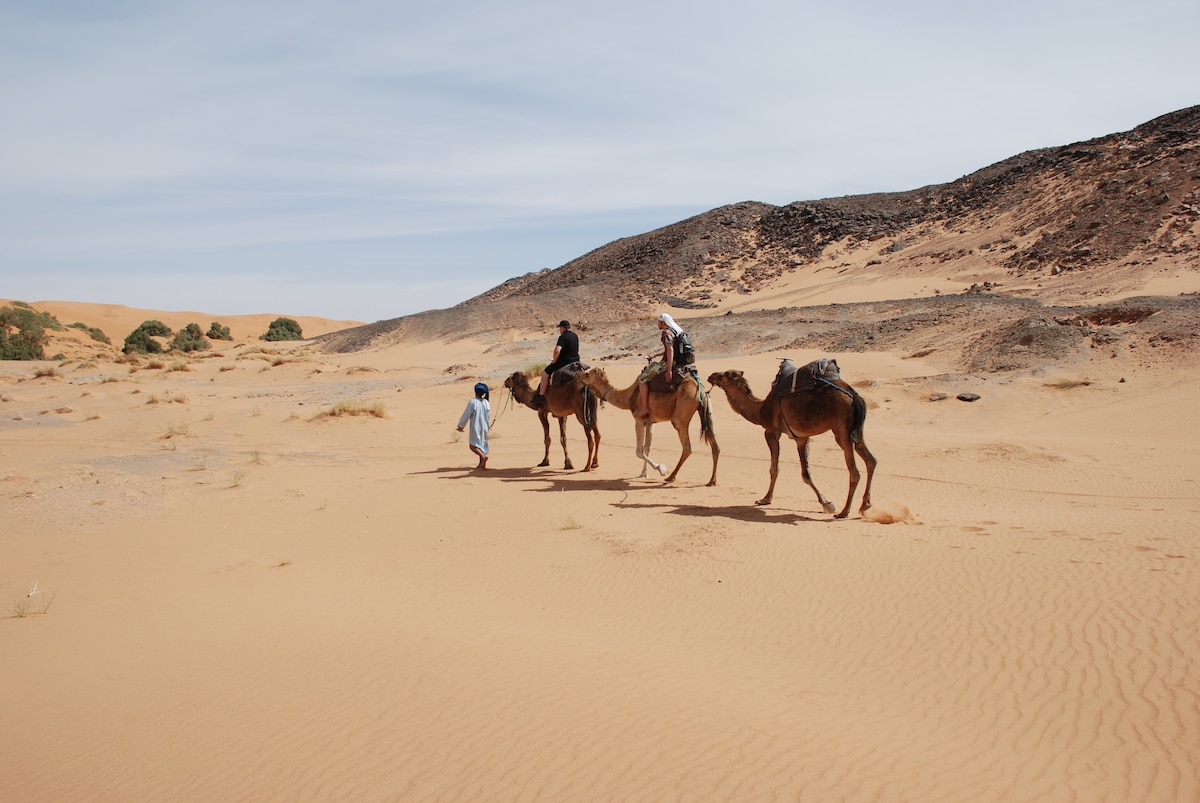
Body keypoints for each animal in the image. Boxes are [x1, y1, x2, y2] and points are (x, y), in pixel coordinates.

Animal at [576, 362, 715, 482]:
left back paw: (670, 477)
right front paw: (644, 473)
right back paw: (710, 480)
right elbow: (647, 447)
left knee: (686, 446)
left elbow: (638, 451)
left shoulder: (639, 419)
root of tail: (700, 390)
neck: (628, 397)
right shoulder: (650, 422)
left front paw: (661, 468)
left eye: (587, 374)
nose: (578, 376)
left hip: (681, 414)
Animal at [705, 367, 878, 516]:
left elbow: (775, 469)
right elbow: (806, 473)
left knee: (854, 471)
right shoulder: (801, 438)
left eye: (725, 374)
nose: (711, 375)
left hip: (841, 430)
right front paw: (825, 502)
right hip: (856, 432)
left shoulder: (771, 432)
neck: (760, 410)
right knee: (871, 460)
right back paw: (865, 505)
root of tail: (854, 395)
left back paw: (844, 511)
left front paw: (765, 499)